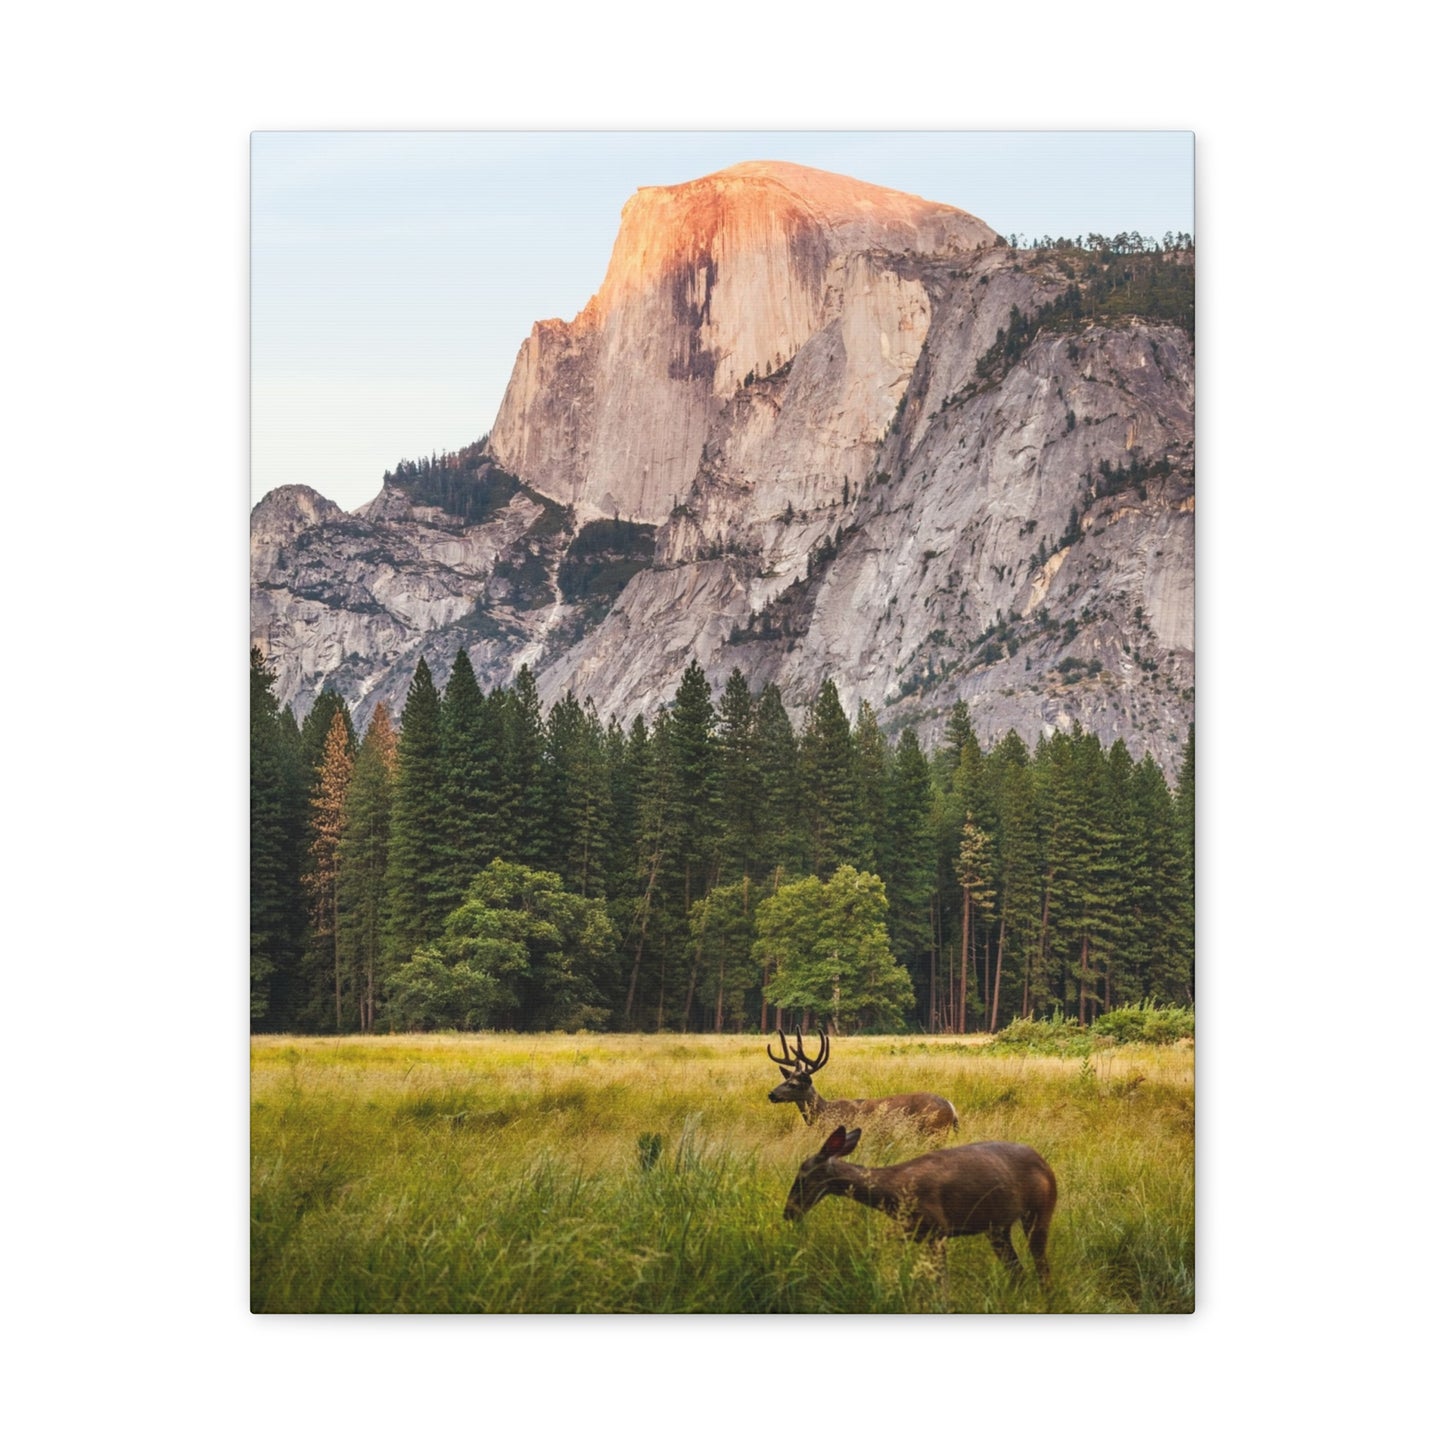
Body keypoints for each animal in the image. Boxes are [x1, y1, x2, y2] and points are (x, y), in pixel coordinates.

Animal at [768, 1023, 959, 1132]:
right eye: (784, 1079)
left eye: (793, 1084)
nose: (771, 1094)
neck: (824, 1112)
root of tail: (952, 1107)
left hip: (934, 1131)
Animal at [786, 1121, 1057, 1283]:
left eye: (802, 1176)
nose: (788, 1212)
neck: (893, 1192)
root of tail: (1046, 1165)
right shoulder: (913, 1232)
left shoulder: (937, 1229)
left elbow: (941, 1283)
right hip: (997, 1228)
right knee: (1017, 1270)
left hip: (1040, 1212)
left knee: (1042, 1268)